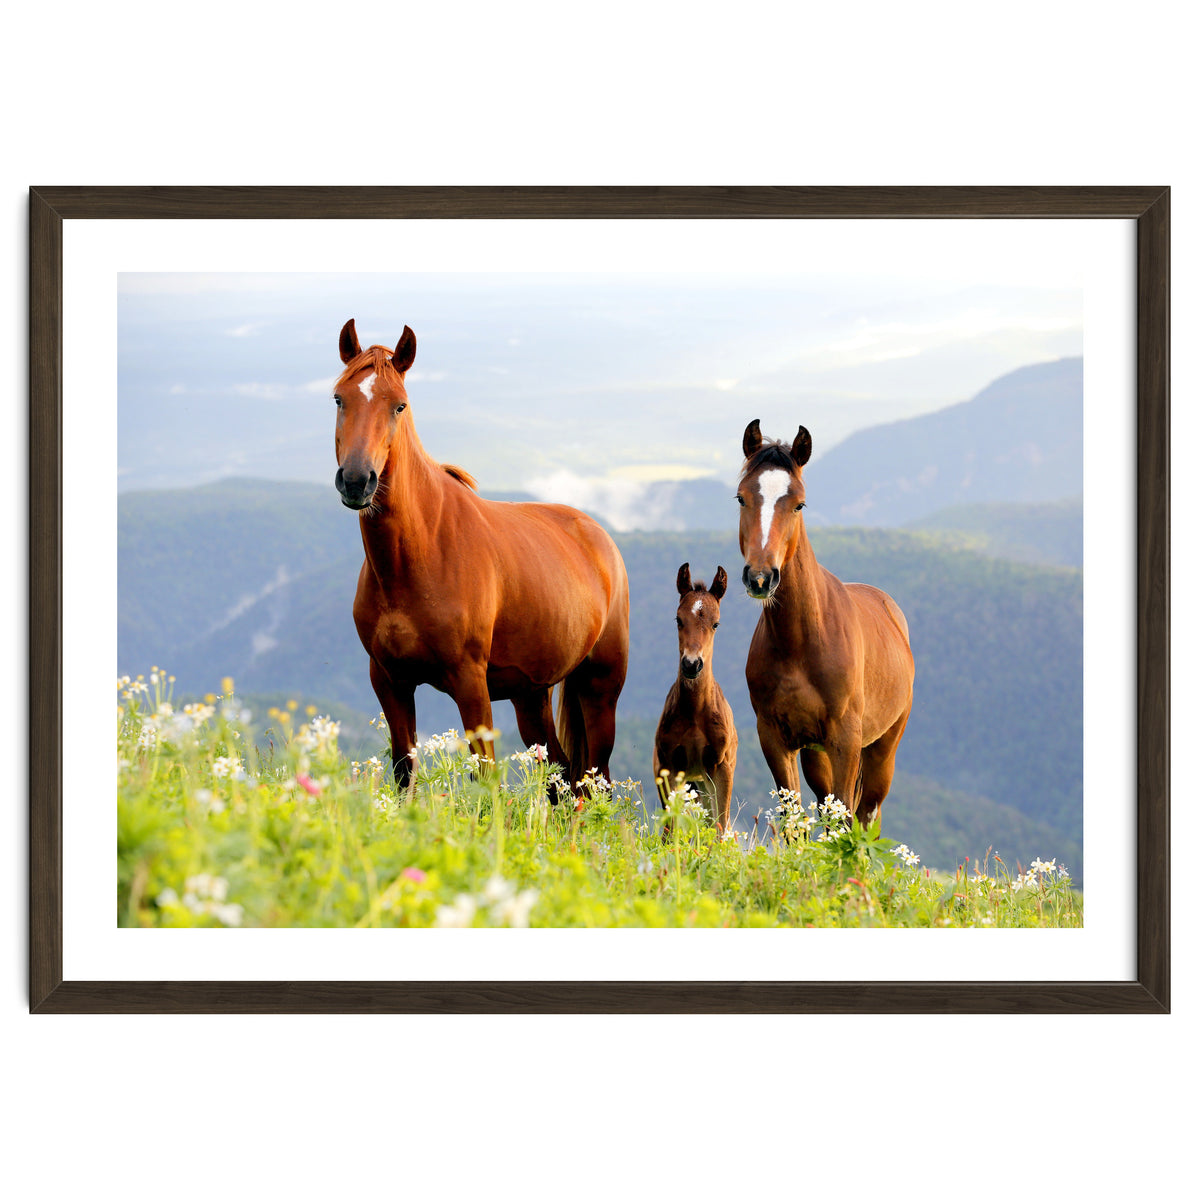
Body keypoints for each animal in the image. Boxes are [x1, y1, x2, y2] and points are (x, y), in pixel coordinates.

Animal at [332, 319, 629, 792]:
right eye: (340, 398)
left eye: (399, 406)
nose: (358, 480)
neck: (417, 557)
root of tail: (600, 537)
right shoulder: (389, 681)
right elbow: (404, 772)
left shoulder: (470, 682)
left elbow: (486, 778)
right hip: (531, 696)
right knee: (561, 776)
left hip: (600, 688)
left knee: (593, 780)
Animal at [653, 563, 738, 833]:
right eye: (678, 619)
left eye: (716, 623)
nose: (692, 664)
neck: (695, 712)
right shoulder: (668, 767)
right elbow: (670, 828)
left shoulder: (721, 767)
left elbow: (720, 827)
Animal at [737, 420, 914, 827]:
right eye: (741, 498)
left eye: (799, 503)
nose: (760, 577)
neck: (801, 641)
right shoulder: (776, 738)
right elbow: (792, 818)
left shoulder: (845, 739)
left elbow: (847, 815)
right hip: (815, 754)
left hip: (882, 748)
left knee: (867, 814)